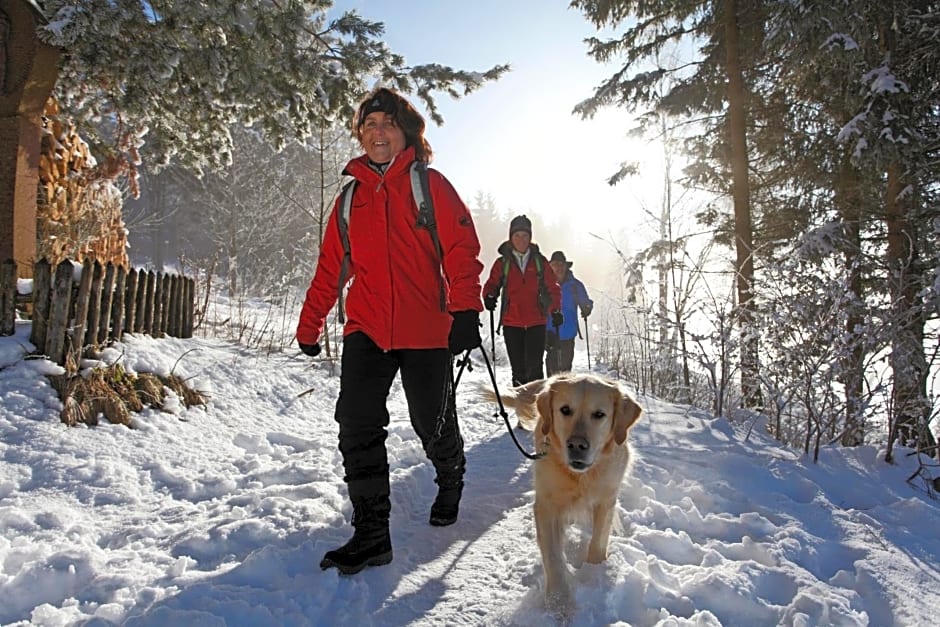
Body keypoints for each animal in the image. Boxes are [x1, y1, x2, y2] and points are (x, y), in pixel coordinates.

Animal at [484, 376, 640, 616]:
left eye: (599, 414)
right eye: (565, 410)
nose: (576, 445)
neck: (580, 476)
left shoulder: (606, 499)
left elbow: (598, 542)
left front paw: (595, 574)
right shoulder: (547, 506)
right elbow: (554, 557)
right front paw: (560, 604)